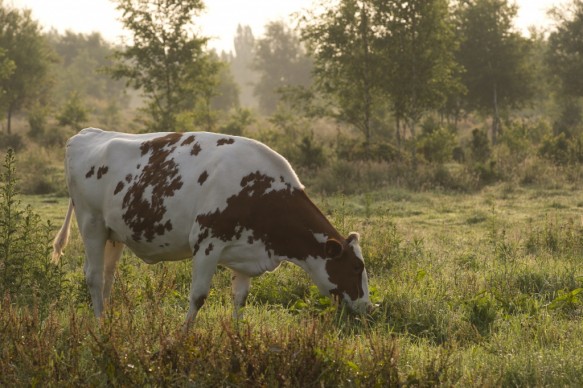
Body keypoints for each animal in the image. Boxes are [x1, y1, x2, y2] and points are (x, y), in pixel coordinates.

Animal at [50, 128, 370, 324]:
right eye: (356, 267)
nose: (369, 307)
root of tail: (87, 133)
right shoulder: (207, 243)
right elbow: (199, 296)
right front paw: (182, 337)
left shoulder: (246, 252)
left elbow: (240, 299)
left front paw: (237, 337)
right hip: (91, 223)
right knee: (93, 276)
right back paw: (98, 323)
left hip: (113, 233)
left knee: (107, 277)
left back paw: (108, 320)